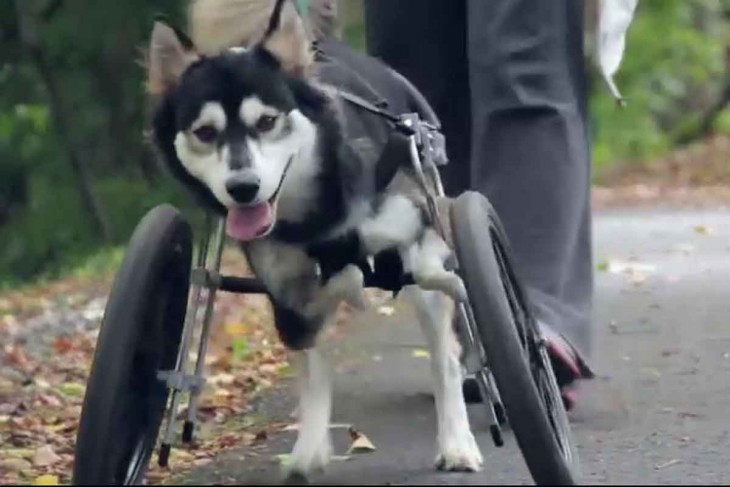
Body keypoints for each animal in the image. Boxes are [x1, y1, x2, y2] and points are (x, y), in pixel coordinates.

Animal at [146, 0, 480, 480]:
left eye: (267, 121)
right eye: (205, 133)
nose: (243, 188)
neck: (315, 217)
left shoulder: (420, 220)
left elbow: (435, 275)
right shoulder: (290, 298)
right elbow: (313, 374)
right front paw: (309, 450)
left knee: (442, 353)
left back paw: (456, 437)